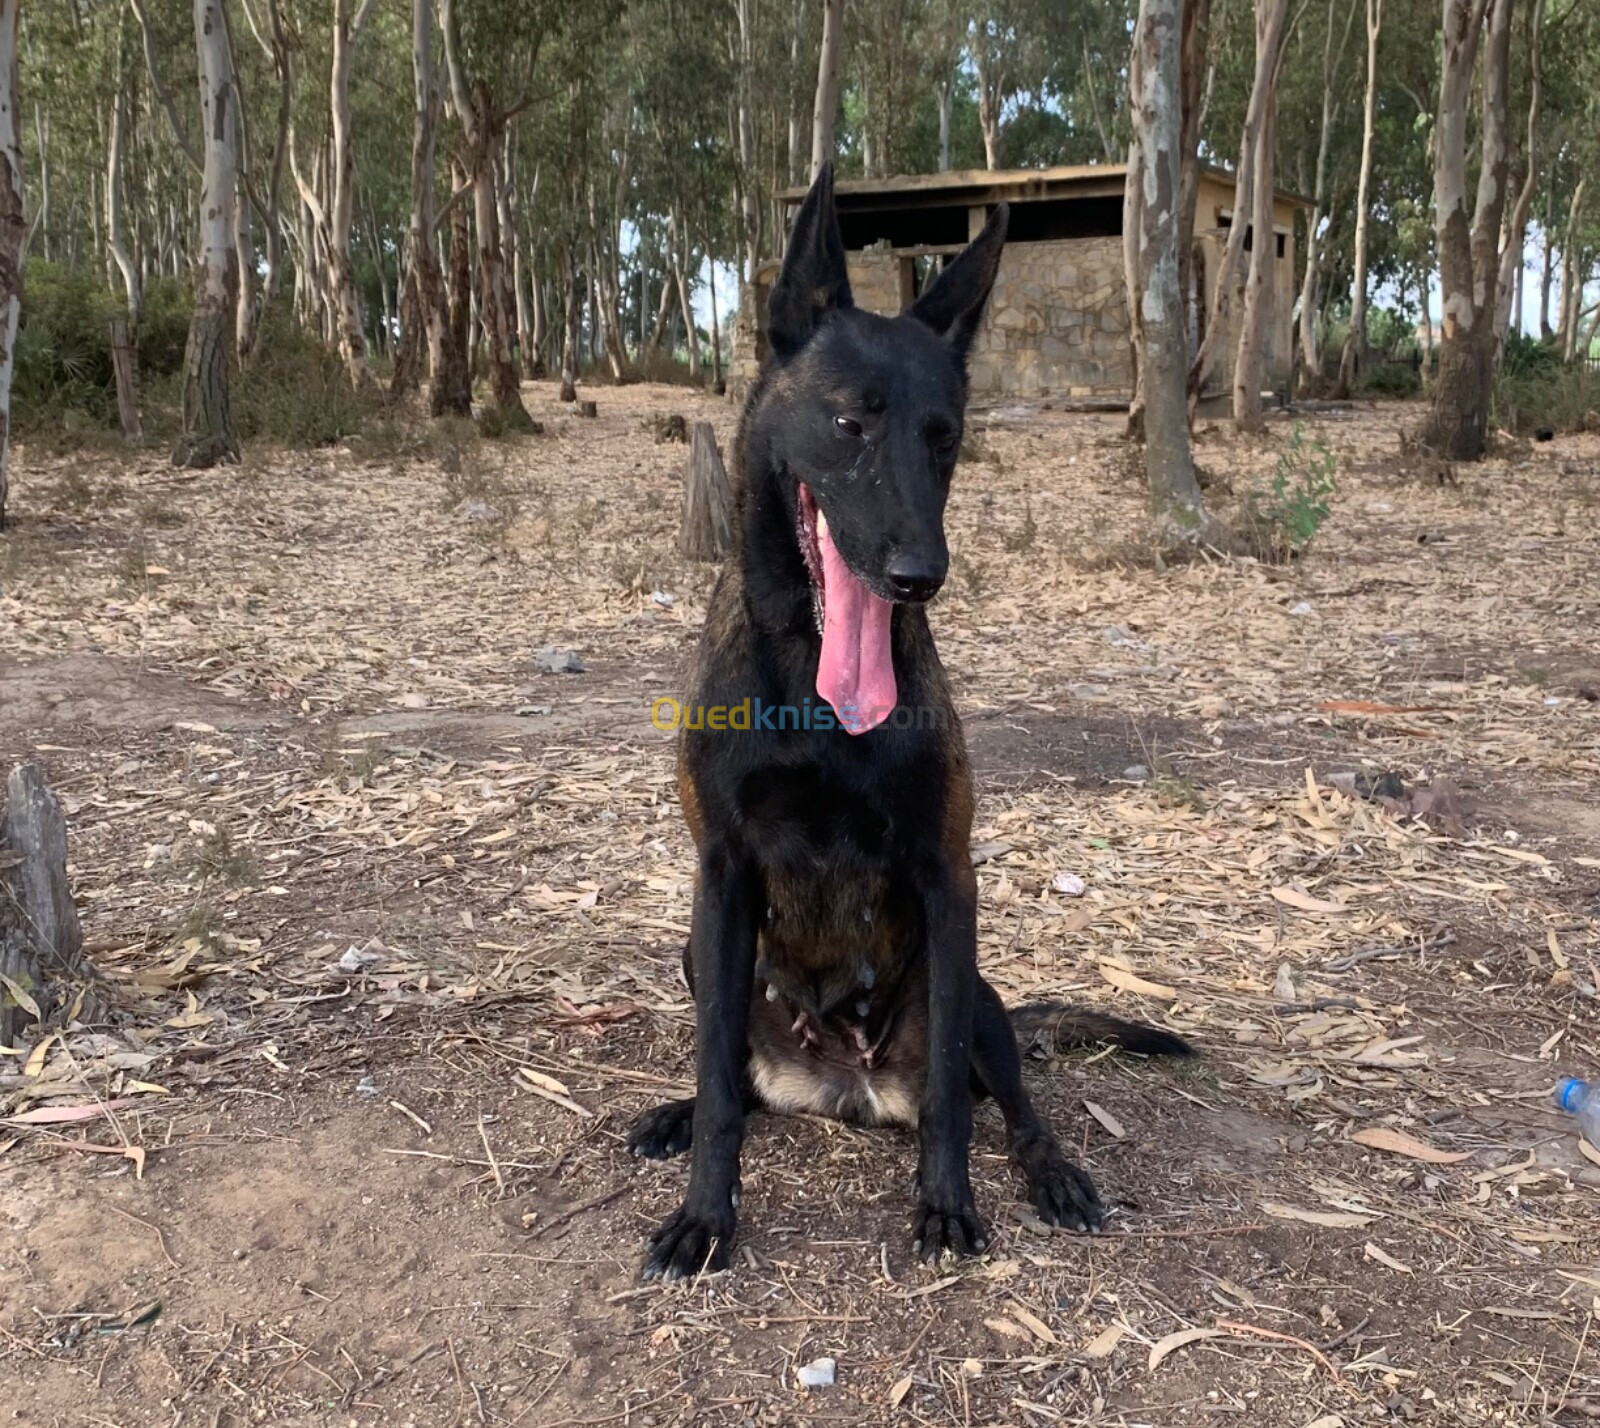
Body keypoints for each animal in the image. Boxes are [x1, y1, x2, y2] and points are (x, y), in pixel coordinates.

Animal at [624, 167, 1190, 1280]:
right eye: (851, 424)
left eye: (947, 439)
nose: (919, 575)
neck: (809, 687)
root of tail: (845, 1084)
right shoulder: (719, 876)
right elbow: (716, 1086)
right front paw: (704, 1211)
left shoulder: (946, 874)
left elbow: (949, 1109)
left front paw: (947, 1202)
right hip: (699, 952)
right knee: (740, 1081)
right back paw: (677, 1113)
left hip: (976, 994)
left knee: (1007, 1100)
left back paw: (1052, 1172)